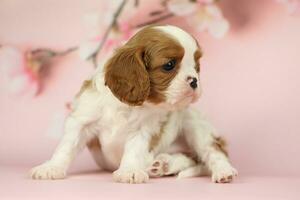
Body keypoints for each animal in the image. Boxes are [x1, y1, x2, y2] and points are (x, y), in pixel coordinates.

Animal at [29, 25, 237, 184]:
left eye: (196, 67)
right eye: (169, 65)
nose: (194, 81)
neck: (128, 106)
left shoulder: (143, 131)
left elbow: (134, 150)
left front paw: (129, 171)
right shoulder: (82, 120)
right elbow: (66, 147)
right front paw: (51, 167)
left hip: (196, 125)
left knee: (213, 151)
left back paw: (223, 171)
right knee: (190, 158)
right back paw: (163, 164)